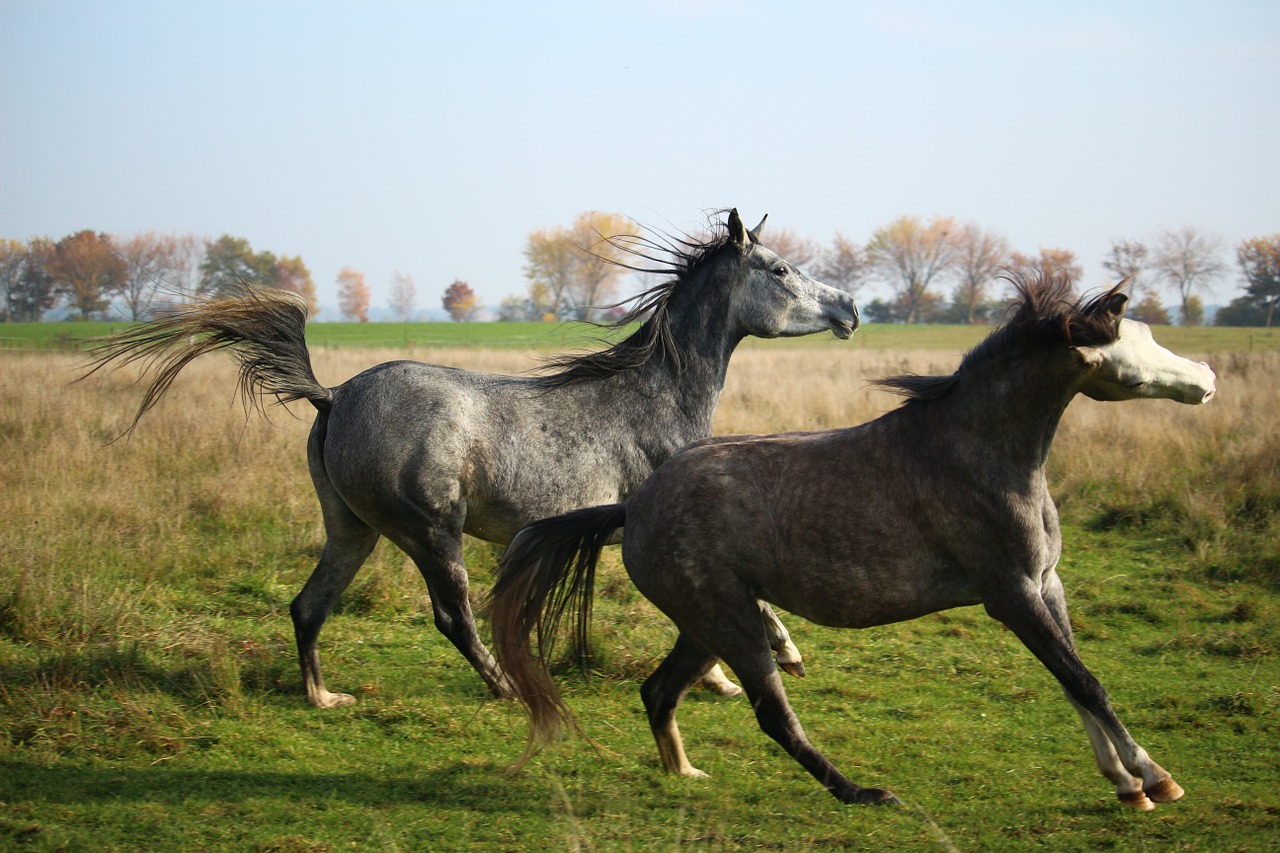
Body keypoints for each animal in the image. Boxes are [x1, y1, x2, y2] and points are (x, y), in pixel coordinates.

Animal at [85, 207, 855, 701]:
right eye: (779, 268)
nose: (849, 308)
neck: (654, 398)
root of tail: (333, 396)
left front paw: (730, 674)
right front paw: (771, 659)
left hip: (353, 530)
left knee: (308, 606)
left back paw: (324, 697)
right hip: (430, 532)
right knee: (452, 615)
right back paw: (507, 688)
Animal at [486, 270, 1218, 804]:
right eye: (1136, 342)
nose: (1208, 378)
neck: (979, 451)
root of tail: (633, 506)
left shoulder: (1047, 586)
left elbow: (1074, 680)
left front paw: (1125, 782)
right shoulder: (1010, 594)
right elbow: (1085, 680)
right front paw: (1155, 779)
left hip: (707, 624)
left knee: (660, 692)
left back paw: (686, 773)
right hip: (731, 623)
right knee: (772, 713)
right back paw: (862, 792)